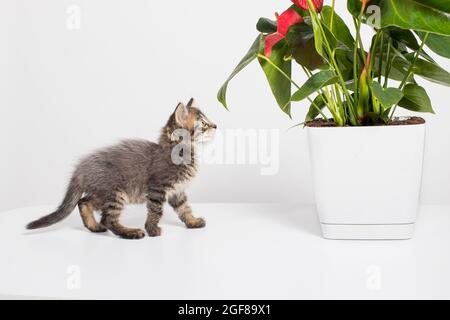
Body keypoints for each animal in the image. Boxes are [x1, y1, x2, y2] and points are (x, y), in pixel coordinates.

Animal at [25, 99, 216, 239]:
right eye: (203, 124)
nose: (215, 126)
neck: (180, 152)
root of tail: (81, 169)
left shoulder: (177, 191)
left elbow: (184, 209)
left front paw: (192, 222)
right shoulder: (157, 188)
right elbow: (156, 211)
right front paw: (152, 229)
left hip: (102, 193)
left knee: (84, 202)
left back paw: (93, 226)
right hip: (116, 193)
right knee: (108, 219)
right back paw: (131, 232)